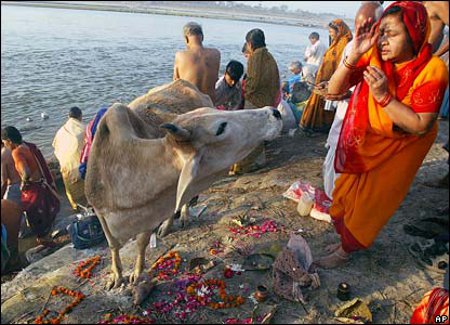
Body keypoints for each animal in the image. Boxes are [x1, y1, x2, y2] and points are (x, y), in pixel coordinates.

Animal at [84, 79, 282, 292]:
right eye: (220, 128)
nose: (273, 112)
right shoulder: (100, 211)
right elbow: (113, 244)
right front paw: (117, 275)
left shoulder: (153, 213)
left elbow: (141, 243)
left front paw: (137, 273)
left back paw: (180, 218)